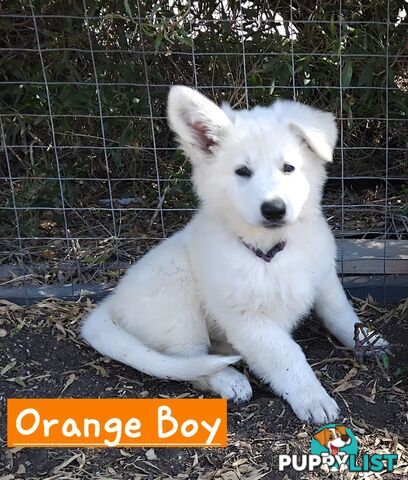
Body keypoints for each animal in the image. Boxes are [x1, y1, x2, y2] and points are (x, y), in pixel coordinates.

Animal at [82, 86, 386, 424]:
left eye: (288, 168)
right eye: (242, 172)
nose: (274, 209)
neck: (270, 251)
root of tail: (111, 303)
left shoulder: (323, 278)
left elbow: (341, 314)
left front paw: (370, 340)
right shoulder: (247, 319)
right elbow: (287, 355)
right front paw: (312, 397)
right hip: (175, 293)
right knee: (189, 363)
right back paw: (229, 379)